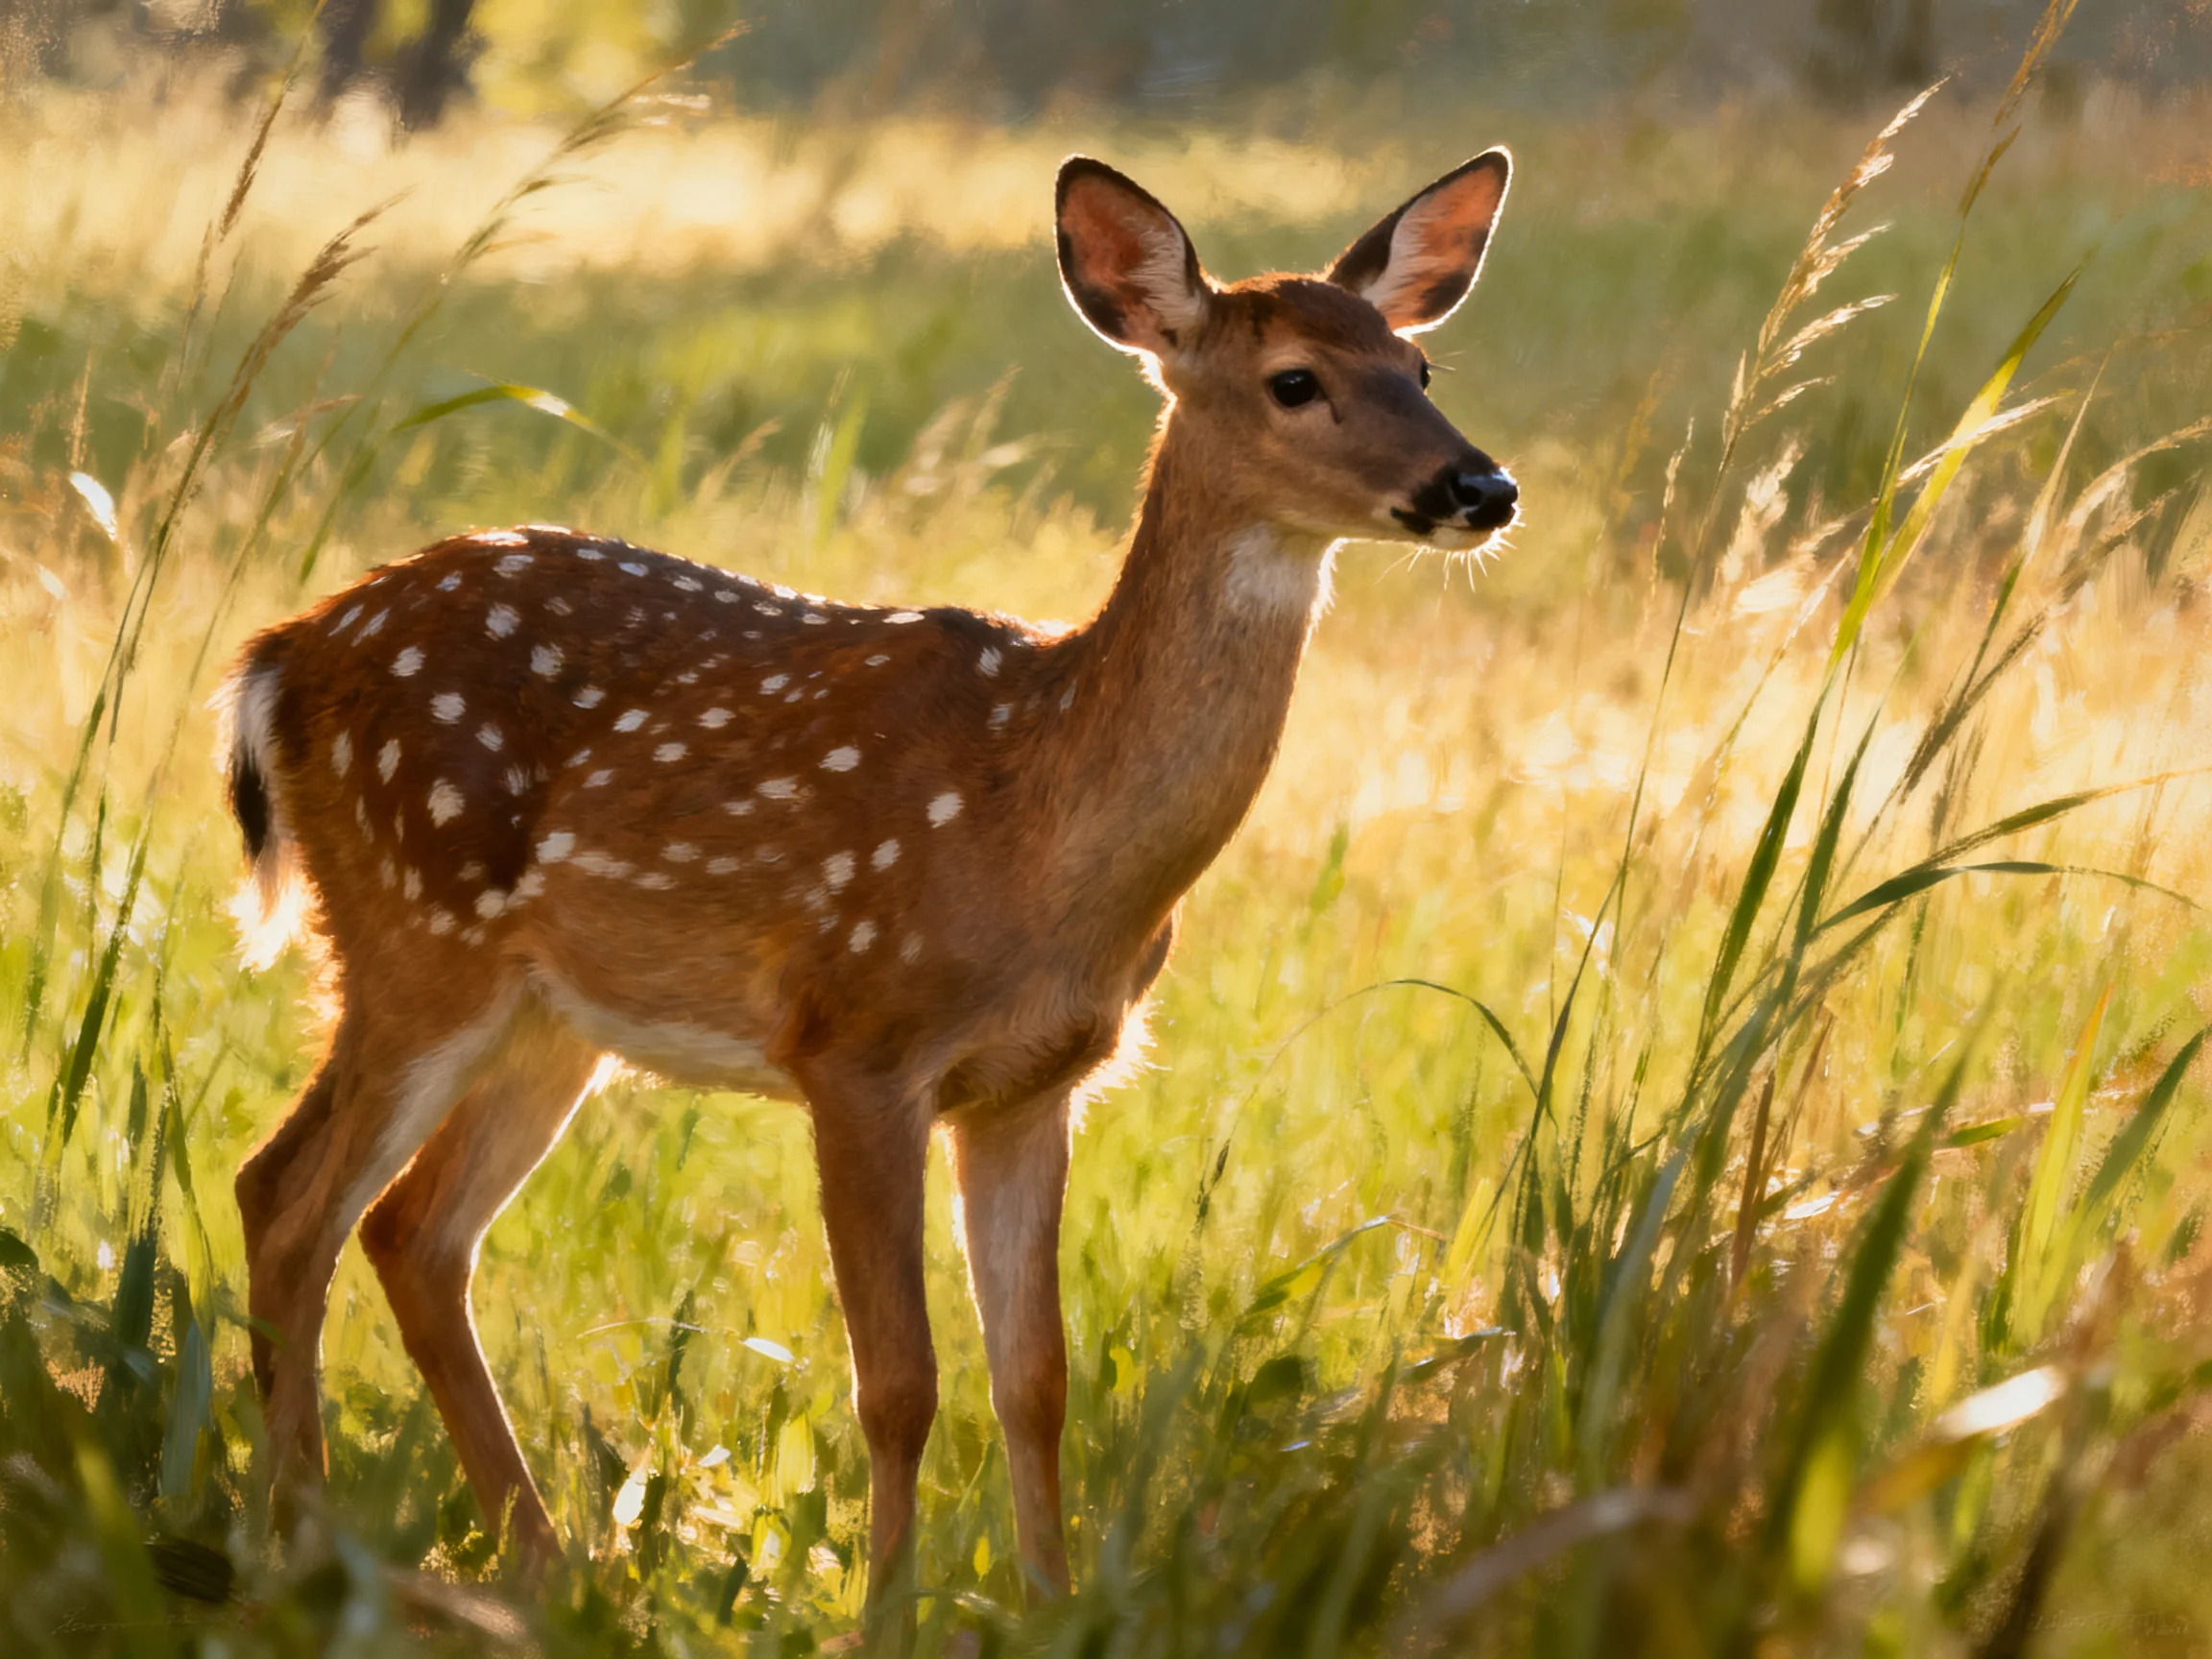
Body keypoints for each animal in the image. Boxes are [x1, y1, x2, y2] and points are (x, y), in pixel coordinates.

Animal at [218, 149, 1518, 1600]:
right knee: (286, 1199)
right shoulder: (854, 1040)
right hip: (410, 936)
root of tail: (282, 655)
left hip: (549, 1016)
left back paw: (545, 1569)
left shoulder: (1035, 1083)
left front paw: (1050, 1605)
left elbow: (1036, 1379)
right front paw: (885, 1607)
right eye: (1296, 379)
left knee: (412, 1232)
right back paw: (305, 1548)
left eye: (1420, 364)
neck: (1041, 831)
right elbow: (897, 1384)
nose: (1482, 488)